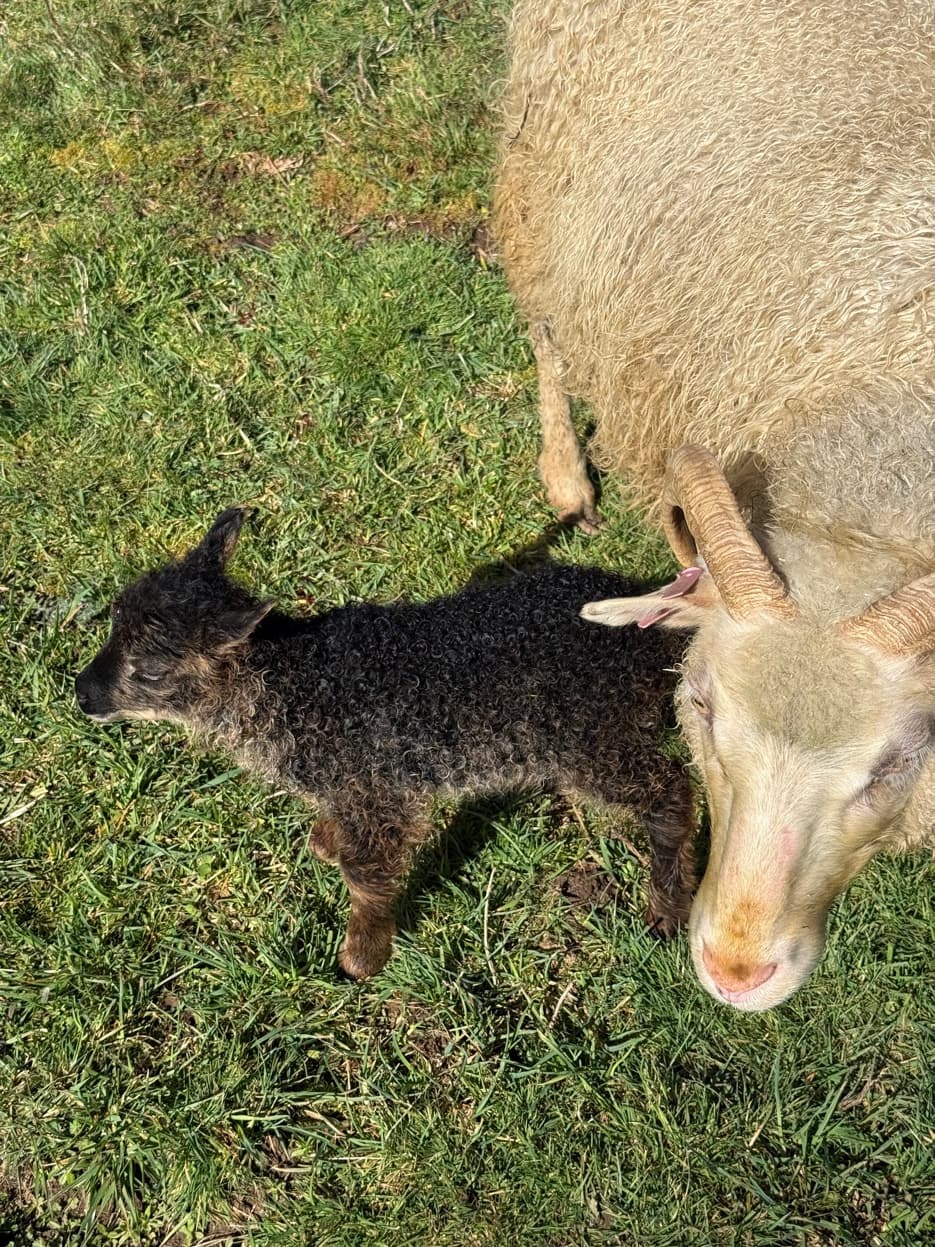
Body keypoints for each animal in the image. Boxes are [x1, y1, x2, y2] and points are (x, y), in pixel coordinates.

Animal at [74, 508, 696, 979]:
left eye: (151, 670)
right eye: (112, 628)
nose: (82, 694)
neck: (295, 681)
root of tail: (657, 627)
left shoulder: (374, 787)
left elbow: (365, 873)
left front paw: (361, 956)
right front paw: (325, 840)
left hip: (594, 739)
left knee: (671, 793)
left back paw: (668, 903)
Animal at [494, 0, 935, 1009]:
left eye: (895, 763)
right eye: (695, 705)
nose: (735, 971)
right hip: (550, 181)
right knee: (547, 334)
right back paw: (566, 475)